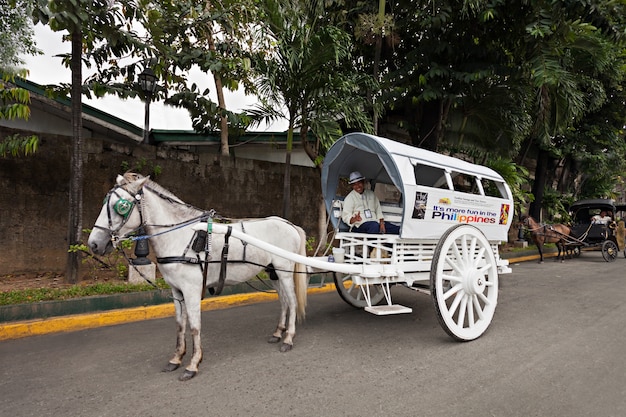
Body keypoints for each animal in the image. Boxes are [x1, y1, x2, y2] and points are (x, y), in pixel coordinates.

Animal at [87, 172, 308, 380]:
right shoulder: (176, 291)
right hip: (273, 272)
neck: (181, 236)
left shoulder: (192, 289)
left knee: (292, 301)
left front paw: (193, 364)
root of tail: (289, 224)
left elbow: (194, 326)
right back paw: (278, 332)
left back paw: (288, 338)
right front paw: (176, 358)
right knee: (284, 301)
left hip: (284, 271)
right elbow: (180, 325)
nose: (93, 244)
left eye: (121, 206)